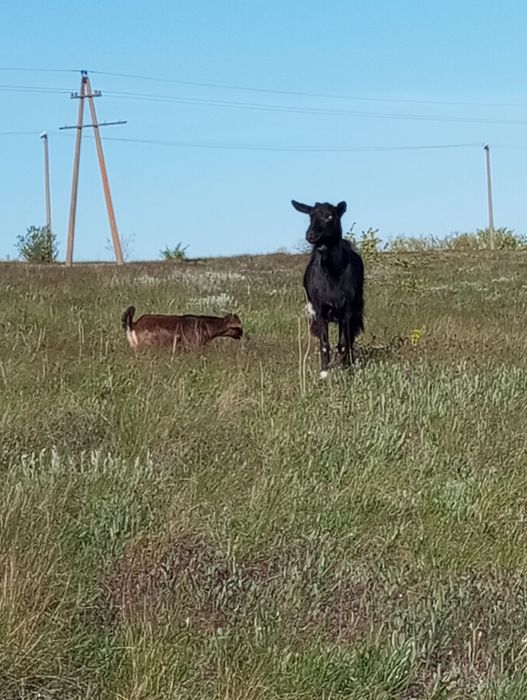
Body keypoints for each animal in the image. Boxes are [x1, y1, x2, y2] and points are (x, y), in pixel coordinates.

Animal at [292, 199, 364, 377]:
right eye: (310, 216)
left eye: (330, 216)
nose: (311, 235)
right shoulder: (320, 311)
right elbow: (324, 344)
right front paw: (324, 372)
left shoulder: (347, 311)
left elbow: (344, 343)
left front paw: (345, 369)